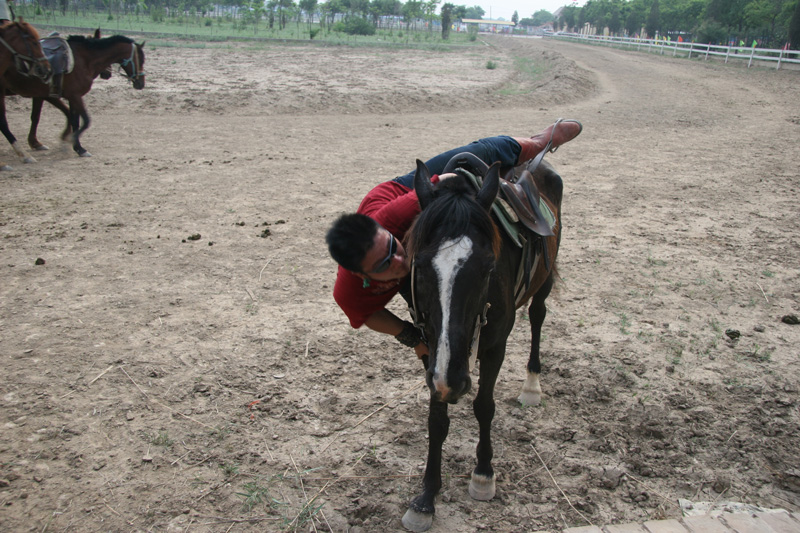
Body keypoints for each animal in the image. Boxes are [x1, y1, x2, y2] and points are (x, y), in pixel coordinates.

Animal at [0, 32, 144, 159]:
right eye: (141, 60)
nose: (141, 83)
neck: (84, 60)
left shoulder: (63, 96)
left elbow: (71, 119)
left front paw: (73, 145)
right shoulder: (74, 96)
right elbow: (85, 120)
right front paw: (75, 143)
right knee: (3, 124)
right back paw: (23, 155)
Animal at [400, 152, 564, 528]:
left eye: (489, 268)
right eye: (419, 265)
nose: (455, 380)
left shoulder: (493, 347)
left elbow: (484, 406)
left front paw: (484, 474)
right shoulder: (431, 353)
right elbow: (436, 419)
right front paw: (426, 496)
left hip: (545, 279)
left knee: (538, 316)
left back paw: (532, 385)